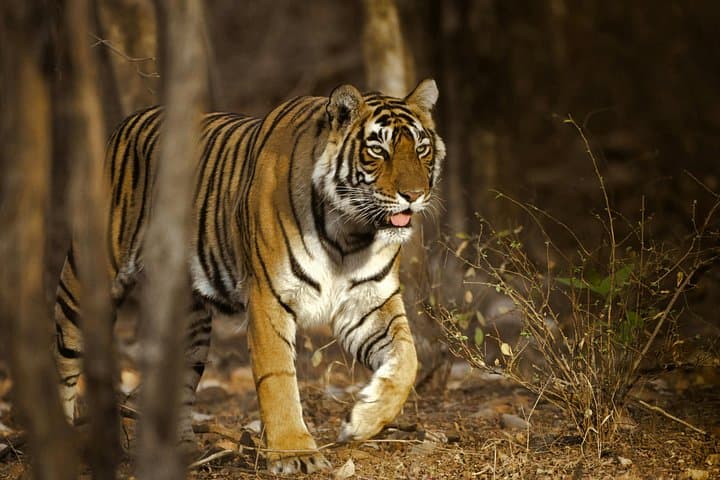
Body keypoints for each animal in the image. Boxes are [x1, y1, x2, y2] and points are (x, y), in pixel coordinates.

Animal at [53, 79, 445, 474]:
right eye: (378, 150)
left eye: (422, 149)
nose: (414, 195)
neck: (351, 234)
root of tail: (125, 123)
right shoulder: (269, 298)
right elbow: (278, 378)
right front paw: (294, 452)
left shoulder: (369, 303)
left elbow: (408, 360)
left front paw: (362, 420)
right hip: (84, 284)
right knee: (63, 365)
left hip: (190, 323)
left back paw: (184, 452)